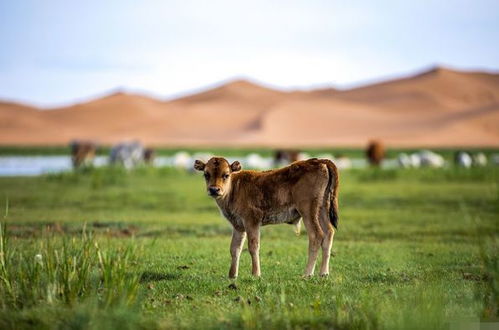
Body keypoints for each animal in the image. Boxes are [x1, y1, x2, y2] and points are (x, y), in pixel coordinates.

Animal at [194, 156, 340, 278]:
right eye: (206, 174)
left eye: (226, 175)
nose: (214, 190)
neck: (235, 188)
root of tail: (320, 161)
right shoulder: (238, 226)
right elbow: (235, 248)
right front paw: (232, 275)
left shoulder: (252, 221)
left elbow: (253, 246)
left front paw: (256, 274)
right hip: (322, 210)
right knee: (328, 233)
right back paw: (324, 273)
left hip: (308, 212)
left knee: (316, 235)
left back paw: (307, 274)